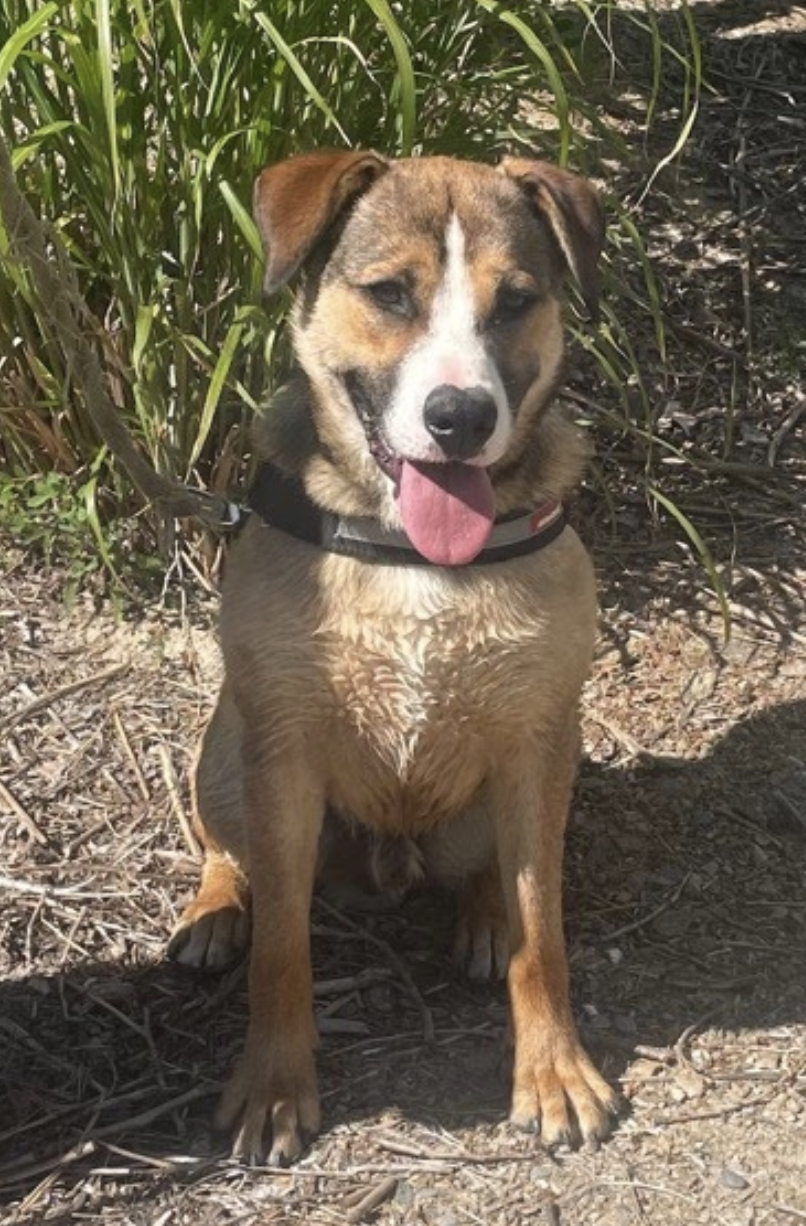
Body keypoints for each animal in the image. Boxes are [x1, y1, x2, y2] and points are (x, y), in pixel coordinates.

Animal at [168, 149, 619, 1164]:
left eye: (516, 300)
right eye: (388, 293)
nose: (461, 416)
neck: (413, 549)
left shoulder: (538, 741)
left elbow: (544, 932)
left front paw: (553, 1072)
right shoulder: (285, 754)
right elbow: (283, 949)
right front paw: (272, 1086)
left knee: (496, 871)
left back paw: (483, 914)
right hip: (225, 751)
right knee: (228, 851)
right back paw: (213, 915)